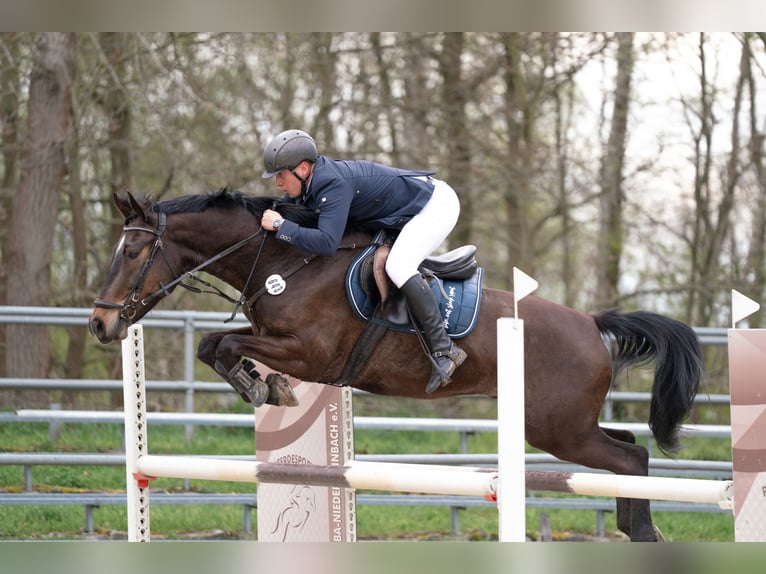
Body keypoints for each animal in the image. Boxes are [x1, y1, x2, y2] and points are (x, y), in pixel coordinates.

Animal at [88, 187, 703, 542]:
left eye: (134, 252)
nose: (100, 324)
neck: (289, 258)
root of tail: (592, 324)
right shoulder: (275, 338)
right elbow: (214, 347)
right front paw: (264, 388)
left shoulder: (312, 353)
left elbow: (226, 347)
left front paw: (268, 389)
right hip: (564, 424)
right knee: (627, 445)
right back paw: (633, 525)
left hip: (555, 428)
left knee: (631, 455)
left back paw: (642, 532)